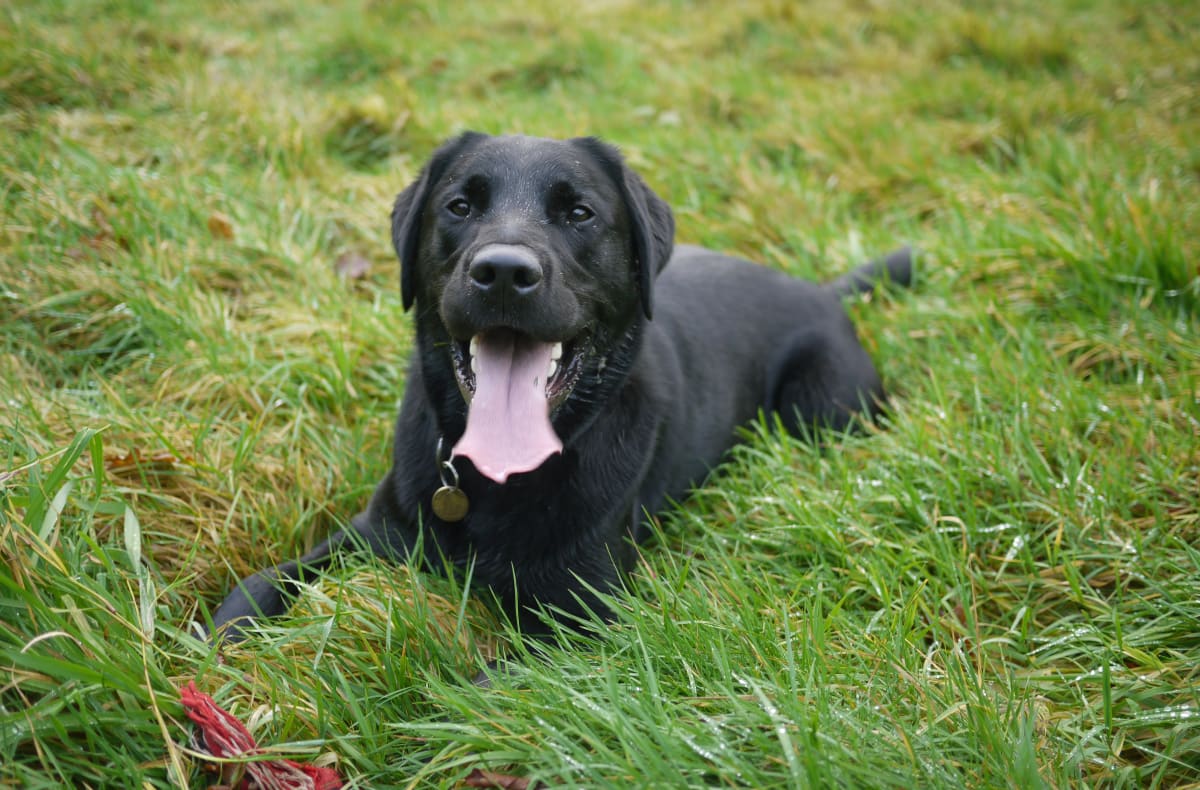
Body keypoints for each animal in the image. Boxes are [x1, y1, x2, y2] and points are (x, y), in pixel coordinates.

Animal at [216, 133, 907, 638]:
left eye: (579, 213)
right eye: (460, 206)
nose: (502, 272)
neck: (498, 476)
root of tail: (822, 292)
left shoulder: (583, 613)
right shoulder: (377, 531)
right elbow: (264, 584)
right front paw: (212, 645)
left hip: (823, 410)